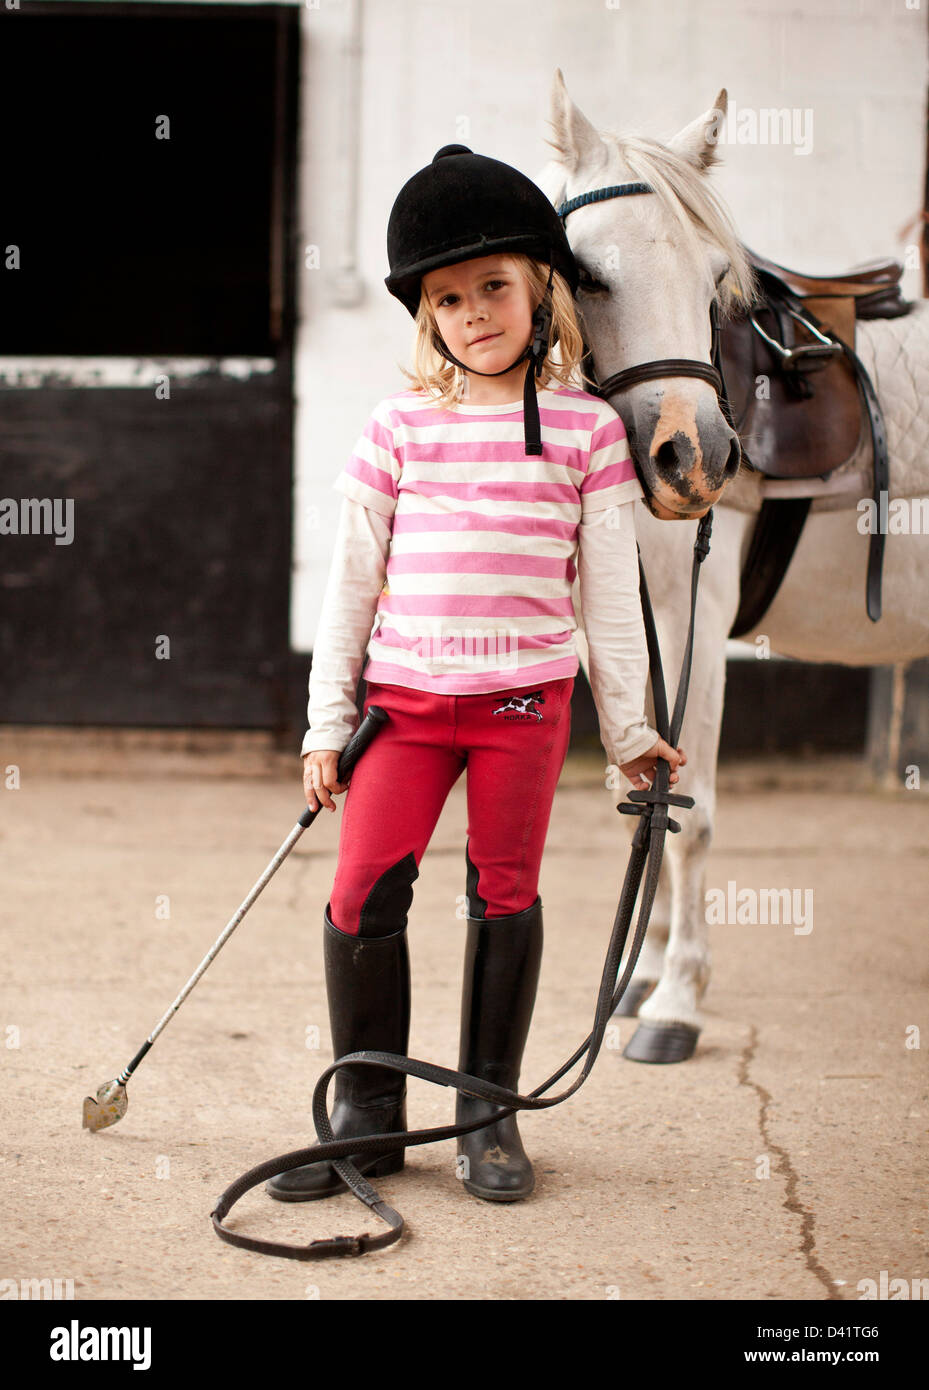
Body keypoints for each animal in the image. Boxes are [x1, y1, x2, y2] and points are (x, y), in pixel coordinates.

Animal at [536, 73, 929, 1061]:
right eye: (588, 274)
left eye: (716, 278)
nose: (695, 460)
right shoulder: (616, 629)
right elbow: (643, 785)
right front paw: (637, 980)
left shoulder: (693, 622)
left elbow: (692, 811)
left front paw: (675, 1002)